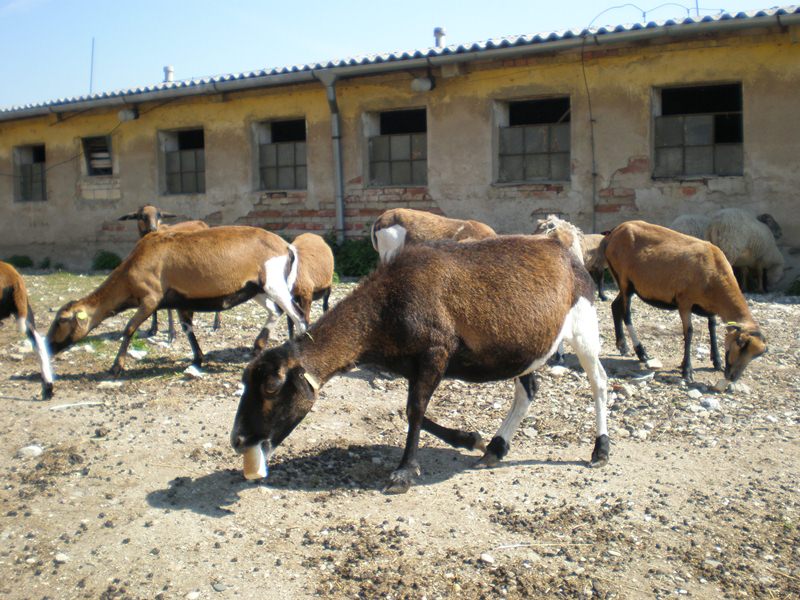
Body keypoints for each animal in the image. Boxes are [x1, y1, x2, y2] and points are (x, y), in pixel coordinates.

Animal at [47, 226, 307, 376]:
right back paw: (257, 347)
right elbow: (187, 328)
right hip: (257, 288)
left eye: (61, 321)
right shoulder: (183, 300)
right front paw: (198, 359)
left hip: (273, 282)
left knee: (297, 315)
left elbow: (129, 328)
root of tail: (286, 246)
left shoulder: (150, 298)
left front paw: (116, 367)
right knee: (277, 312)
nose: (49, 346)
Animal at [119, 204, 221, 340]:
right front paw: (153, 329)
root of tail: (203, 223)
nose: (153, 229)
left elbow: (168, 308)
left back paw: (216, 324)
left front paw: (171, 333)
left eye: (159, 215)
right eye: (141, 216)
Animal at [231, 235, 610, 494]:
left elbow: (414, 411)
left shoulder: (434, 352)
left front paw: (404, 472)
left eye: (272, 386)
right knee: (528, 389)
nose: (237, 440)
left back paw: (600, 449)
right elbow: (414, 411)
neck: (383, 310)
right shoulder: (415, 366)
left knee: (599, 382)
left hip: (584, 321)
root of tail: (564, 249)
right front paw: (470, 439)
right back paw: (495, 449)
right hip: (527, 349)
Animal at [601, 220, 766, 384]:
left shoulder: (709, 307)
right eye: (740, 344)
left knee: (615, 306)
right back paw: (641, 353)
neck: (714, 272)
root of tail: (615, 231)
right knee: (626, 315)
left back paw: (623, 346)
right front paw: (687, 370)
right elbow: (689, 332)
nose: (732, 377)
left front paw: (717, 362)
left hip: (627, 285)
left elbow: (712, 327)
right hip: (624, 280)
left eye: (756, 355)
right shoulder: (684, 302)